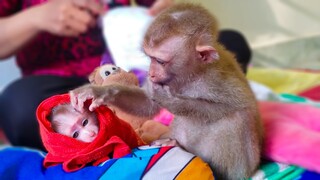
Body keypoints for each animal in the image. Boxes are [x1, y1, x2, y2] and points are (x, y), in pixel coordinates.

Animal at [71, 3, 264, 179]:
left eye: (160, 61)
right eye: (150, 58)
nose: (150, 73)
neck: (191, 75)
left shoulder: (215, 79)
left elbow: (228, 108)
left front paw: (169, 99)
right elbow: (146, 104)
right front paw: (99, 91)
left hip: (241, 168)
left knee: (234, 119)